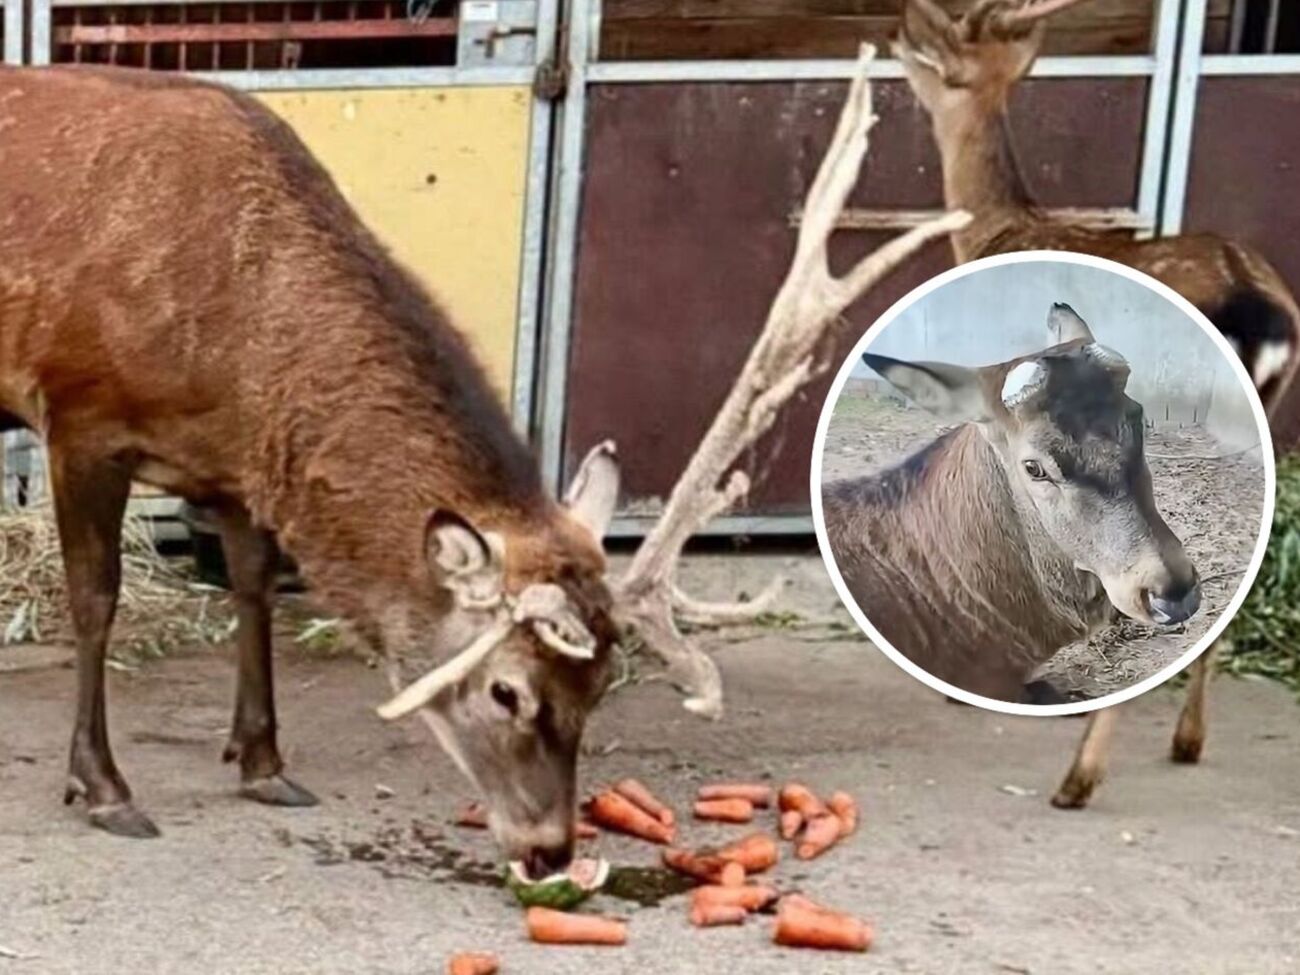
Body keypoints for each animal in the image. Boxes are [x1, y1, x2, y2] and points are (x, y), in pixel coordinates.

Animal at [894, 0, 1295, 807]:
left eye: (941, 57)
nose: (896, 34)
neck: (999, 230)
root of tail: (1260, 307)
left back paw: (1078, 777)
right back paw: (1187, 740)